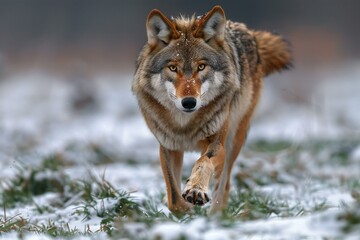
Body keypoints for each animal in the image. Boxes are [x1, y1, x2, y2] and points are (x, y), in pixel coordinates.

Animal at [131, 4, 292, 213]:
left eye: (201, 67)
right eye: (173, 68)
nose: (189, 102)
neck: (185, 126)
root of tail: (248, 32)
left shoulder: (216, 144)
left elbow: (203, 162)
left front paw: (195, 190)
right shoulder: (168, 147)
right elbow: (173, 197)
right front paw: (186, 208)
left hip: (234, 140)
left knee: (224, 185)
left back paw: (215, 214)